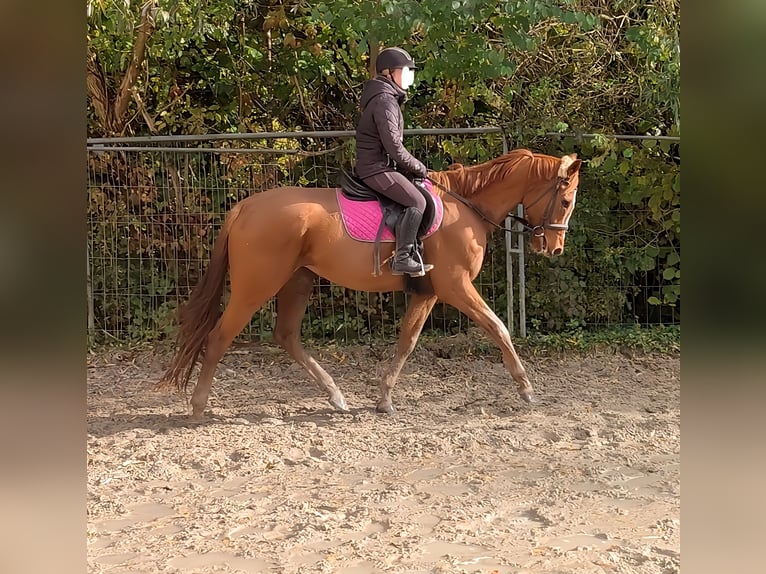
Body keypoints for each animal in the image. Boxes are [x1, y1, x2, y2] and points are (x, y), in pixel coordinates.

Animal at [162, 148, 584, 418]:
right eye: (565, 202)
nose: (555, 247)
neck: (465, 207)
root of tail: (245, 206)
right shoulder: (455, 287)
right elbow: (499, 328)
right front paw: (526, 389)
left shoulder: (428, 293)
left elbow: (407, 342)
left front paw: (383, 400)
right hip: (256, 287)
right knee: (219, 337)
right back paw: (198, 407)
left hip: (298, 282)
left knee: (286, 336)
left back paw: (335, 396)